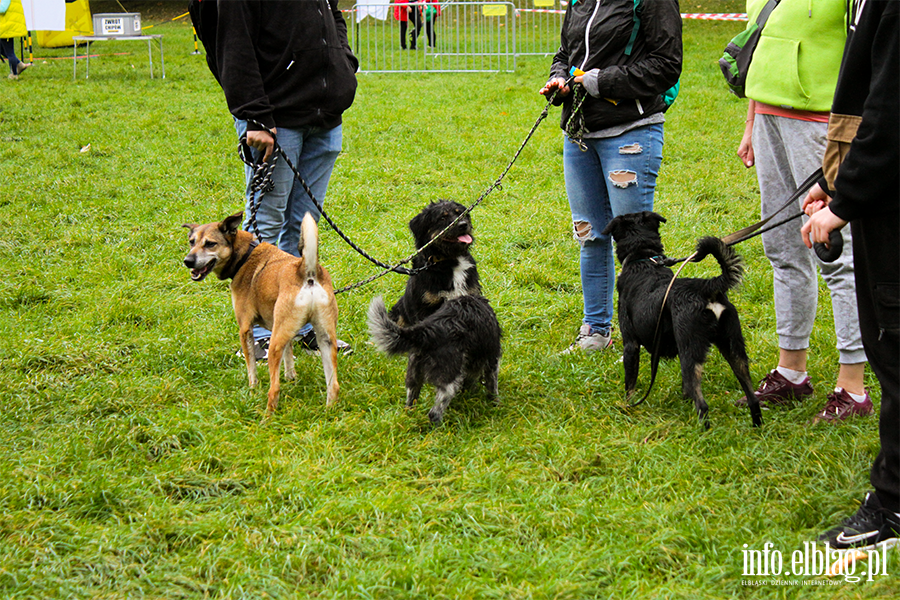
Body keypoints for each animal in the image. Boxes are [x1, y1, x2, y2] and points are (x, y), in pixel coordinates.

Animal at [181, 211, 340, 412]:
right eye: (191, 242)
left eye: (210, 243)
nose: (188, 261)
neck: (245, 256)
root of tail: (306, 270)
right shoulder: (282, 330)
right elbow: (289, 357)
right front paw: (291, 378)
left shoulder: (245, 328)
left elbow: (251, 370)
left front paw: (252, 390)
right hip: (325, 338)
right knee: (333, 385)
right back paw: (329, 411)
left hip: (274, 345)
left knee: (274, 389)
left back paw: (268, 415)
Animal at [370, 200, 502, 422]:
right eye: (442, 217)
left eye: (461, 213)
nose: (464, 225)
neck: (450, 262)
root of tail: (426, 335)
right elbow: (490, 381)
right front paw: (493, 401)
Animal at [604, 211, 760, 426]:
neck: (644, 260)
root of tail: (707, 289)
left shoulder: (631, 344)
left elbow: (630, 383)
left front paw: (628, 407)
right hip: (733, 348)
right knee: (752, 397)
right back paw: (757, 427)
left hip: (691, 350)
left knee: (703, 404)